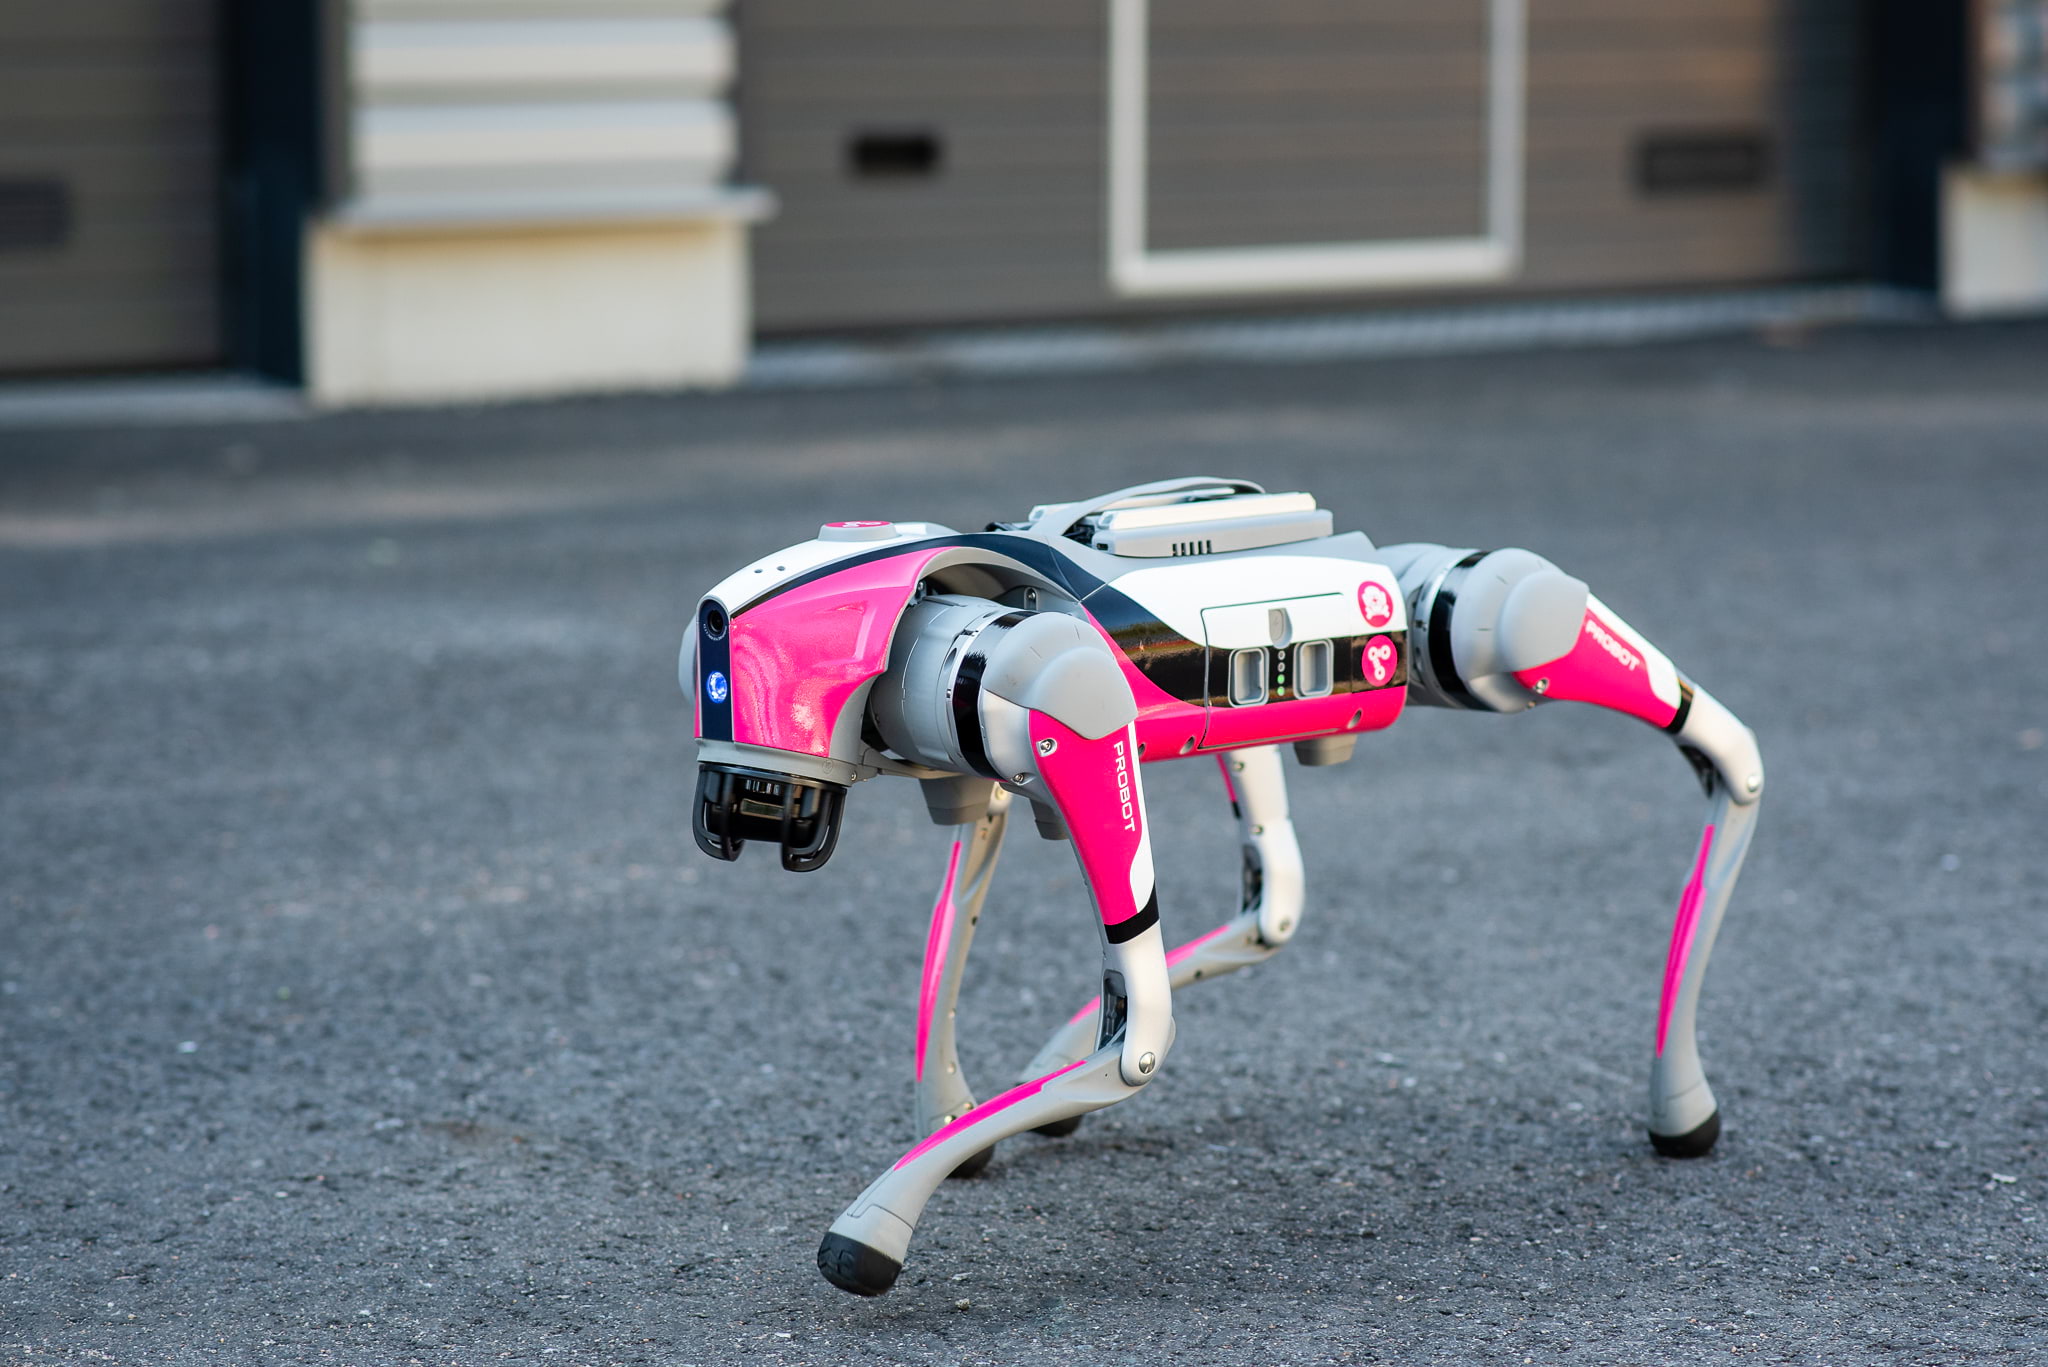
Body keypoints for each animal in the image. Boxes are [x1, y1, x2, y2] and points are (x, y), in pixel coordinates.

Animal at [684, 479, 1761, 1295]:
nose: (747, 812)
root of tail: (1374, 561)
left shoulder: (1061, 690)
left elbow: (1141, 1040)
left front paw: (879, 1220)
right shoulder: (980, 762)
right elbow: (988, 930)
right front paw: (962, 1119)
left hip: (1477, 634)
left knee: (1696, 725)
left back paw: (1680, 1098)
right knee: (1271, 904)